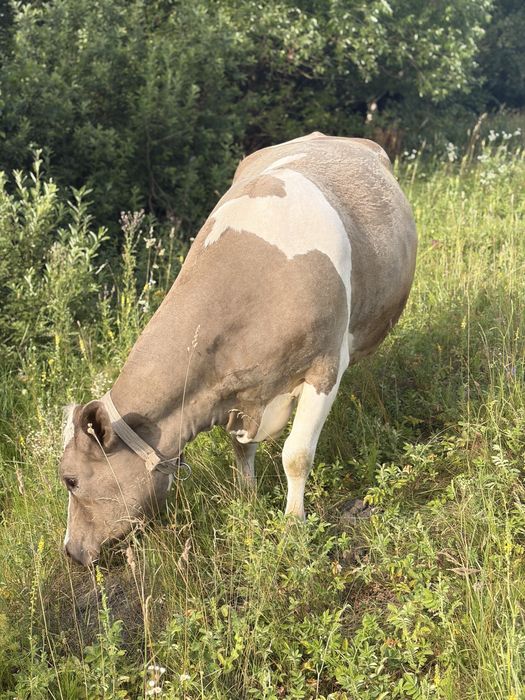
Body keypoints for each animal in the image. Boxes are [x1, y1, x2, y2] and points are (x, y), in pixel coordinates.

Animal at [60, 132, 417, 566]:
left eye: (70, 480)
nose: (70, 550)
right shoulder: (236, 393)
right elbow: (240, 448)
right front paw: (247, 499)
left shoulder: (324, 365)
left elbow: (296, 455)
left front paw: (293, 525)